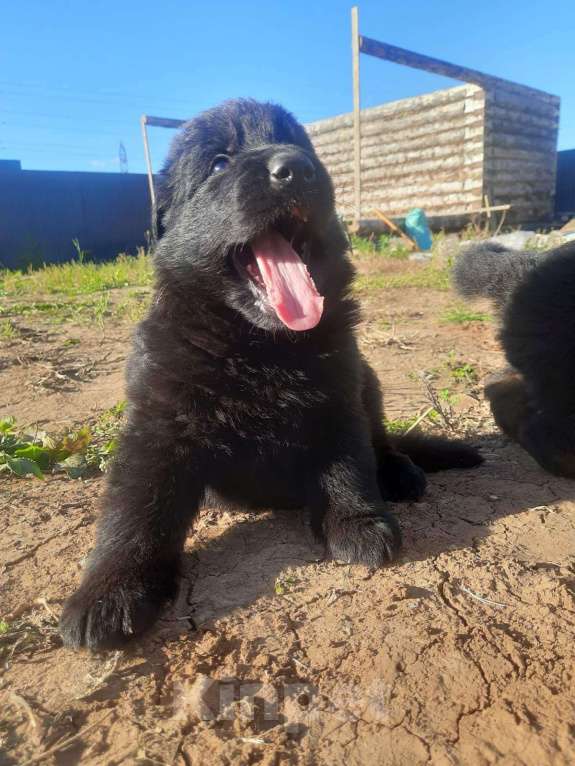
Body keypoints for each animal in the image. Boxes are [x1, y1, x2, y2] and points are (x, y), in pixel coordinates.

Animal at [59, 99, 482, 652]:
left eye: (300, 146)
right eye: (219, 163)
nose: (296, 168)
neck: (259, 344)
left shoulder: (337, 395)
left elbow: (348, 463)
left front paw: (359, 523)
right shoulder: (159, 421)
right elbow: (134, 509)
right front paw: (109, 592)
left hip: (368, 381)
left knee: (380, 441)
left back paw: (398, 471)